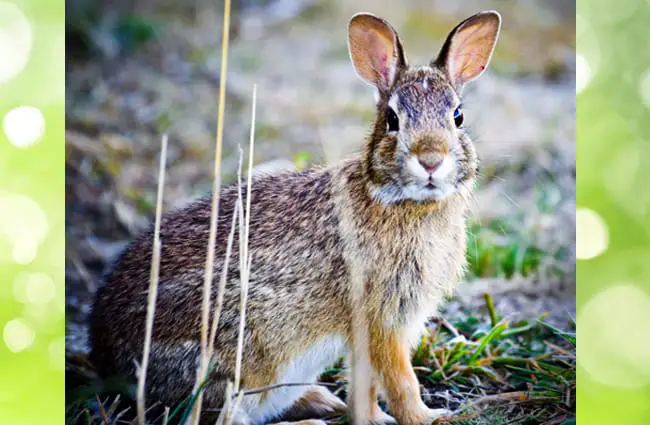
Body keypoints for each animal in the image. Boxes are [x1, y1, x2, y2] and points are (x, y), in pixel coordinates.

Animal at [87, 9, 502, 424]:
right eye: (392, 119)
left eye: (458, 116)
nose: (431, 159)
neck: (398, 199)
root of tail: (107, 361)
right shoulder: (382, 318)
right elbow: (400, 381)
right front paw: (429, 417)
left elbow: (365, 384)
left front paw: (373, 418)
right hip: (227, 354)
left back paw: (322, 401)